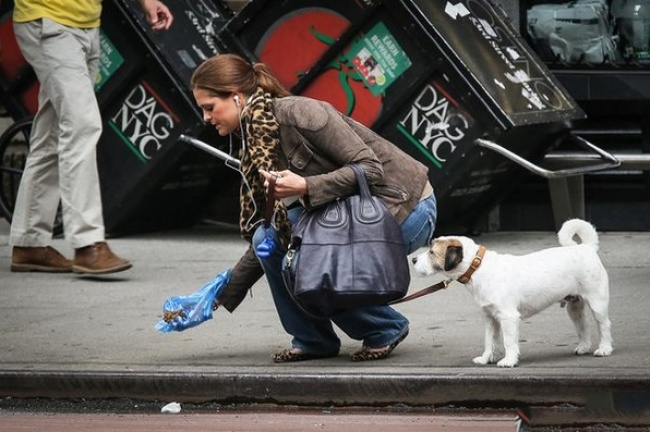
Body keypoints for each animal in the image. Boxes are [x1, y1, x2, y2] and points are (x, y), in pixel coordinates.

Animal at [412, 219, 612, 368]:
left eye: (431, 252)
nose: (413, 259)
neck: (478, 267)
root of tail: (587, 248)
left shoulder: (508, 317)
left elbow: (508, 341)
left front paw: (508, 360)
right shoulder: (490, 318)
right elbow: (489, 341)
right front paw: (486, 358)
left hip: (597, 302)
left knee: (604, 325)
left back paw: (605, 349)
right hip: (574, 306)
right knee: (582, 325)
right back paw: (584, 346)